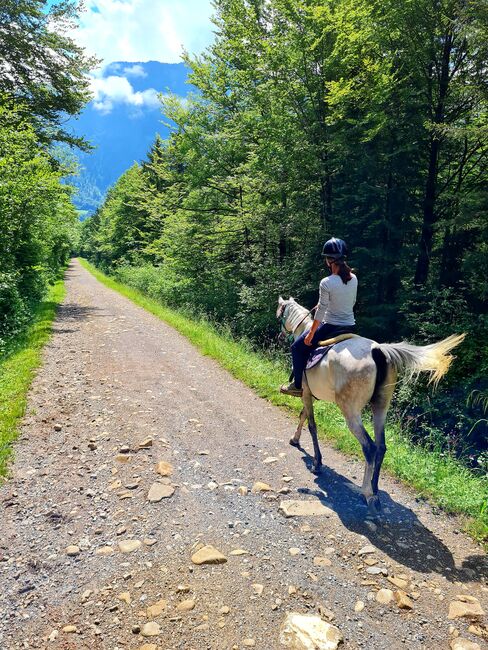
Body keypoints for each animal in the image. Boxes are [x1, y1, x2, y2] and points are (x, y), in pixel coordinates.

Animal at [276, 294, 464, 512]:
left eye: (279, 313)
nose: (280, 336)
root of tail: (378, 351)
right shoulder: (310, 395)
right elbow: (303, 416)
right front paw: (295, 439)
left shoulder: (306, 393)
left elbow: (312, 425)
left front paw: (317, 463)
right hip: (380, 408)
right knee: (381, 447)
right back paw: (374, 487)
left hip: (351, 412)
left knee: (370, 447)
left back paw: (367, 493)